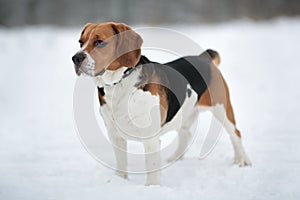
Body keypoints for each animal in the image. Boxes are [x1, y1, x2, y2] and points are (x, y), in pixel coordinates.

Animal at [72, 22, 251, 186]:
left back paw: (243, 160)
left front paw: (152, 187)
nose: (75, 58)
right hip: (185, 112)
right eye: (81, 42)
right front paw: (119, 181)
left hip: (222, 109)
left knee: (236, 133)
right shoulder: (115, 135)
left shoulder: (150, 138)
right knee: (185, 134)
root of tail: (203, 57)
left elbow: (151, 166)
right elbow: (121, 162)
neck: (120, 83)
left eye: (99, 42)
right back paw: (175, 159)